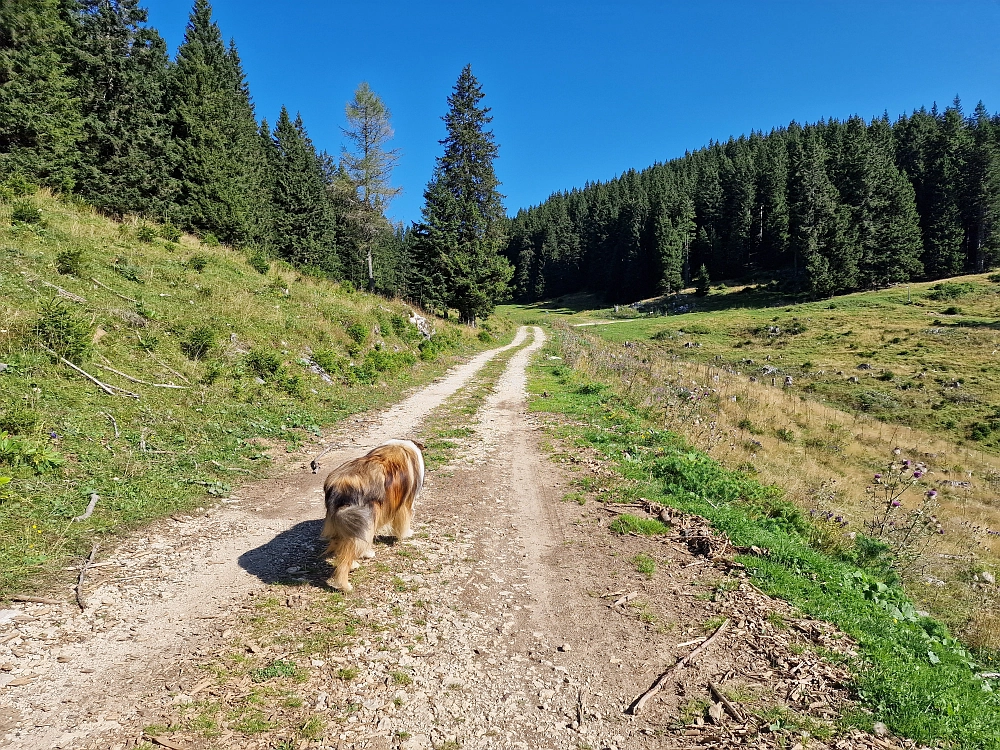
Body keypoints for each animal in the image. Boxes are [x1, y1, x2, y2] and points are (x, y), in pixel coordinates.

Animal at [320, 440, 426, 592]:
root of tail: (339, 487)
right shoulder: (405, 503)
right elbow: (404, 521)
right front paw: (407, 534)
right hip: (366, 517)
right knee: (347, 556)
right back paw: (346, 585)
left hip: (346, 521)